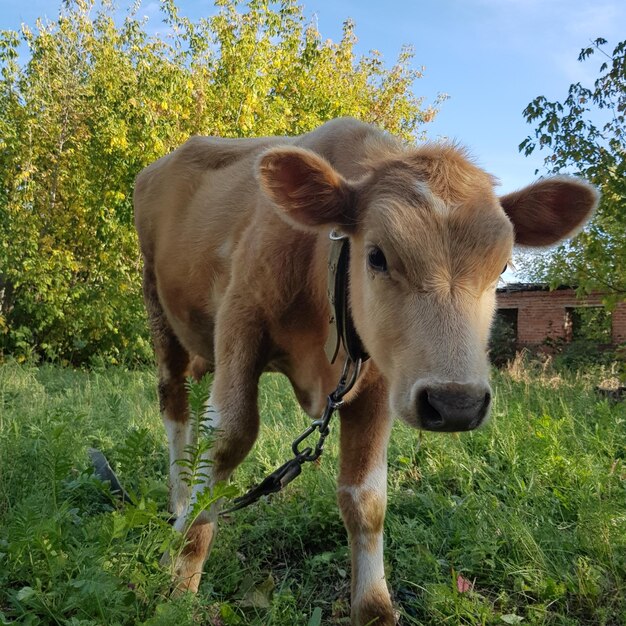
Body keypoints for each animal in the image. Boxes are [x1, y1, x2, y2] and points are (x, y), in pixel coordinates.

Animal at [133, 116, 596, 620]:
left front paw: (374, 606)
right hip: (158, 307)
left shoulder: (379, 378)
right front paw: (181, 578)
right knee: (176, 411)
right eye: (376, 256)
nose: (457, 403)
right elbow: (228, 439)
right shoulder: (241, 319)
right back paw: (179, 510)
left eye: (504, 265)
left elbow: (365, 497)